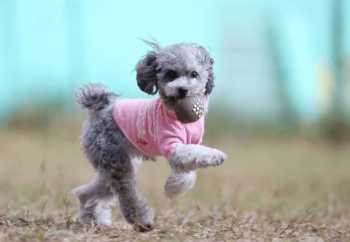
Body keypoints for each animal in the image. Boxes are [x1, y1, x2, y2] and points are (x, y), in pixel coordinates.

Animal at [73, 42, 227, 233]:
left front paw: (173, 187)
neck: (177, 116)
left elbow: (188, 173)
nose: (182, 90)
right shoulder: (173, 146)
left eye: (194, 74)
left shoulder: (189, 145)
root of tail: (102, 105)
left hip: (113, 163)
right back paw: (141, 221)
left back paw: (93, 219)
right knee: (126, 192)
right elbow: (194, 154)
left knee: (92, 191)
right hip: (115, 160)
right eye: (171, 74)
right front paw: (216, 156)